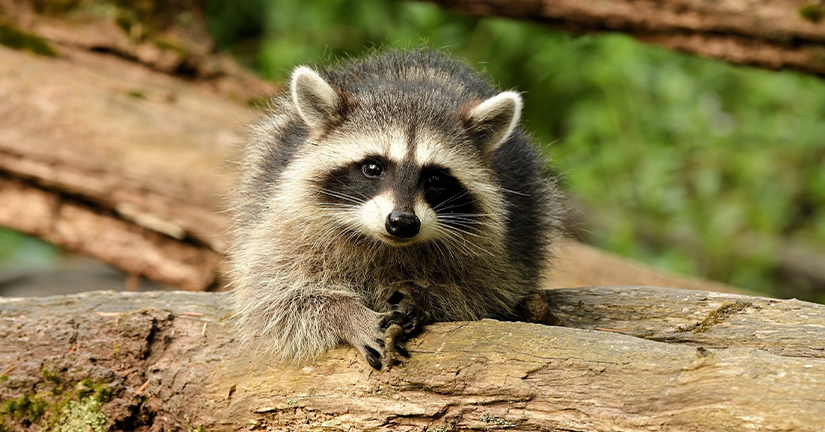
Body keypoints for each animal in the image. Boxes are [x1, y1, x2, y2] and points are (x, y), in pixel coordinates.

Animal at [232, 49, 568, 368]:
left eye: (435, 178)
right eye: (372, 167)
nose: (403, 222)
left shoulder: (505, 251)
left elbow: (482, 291)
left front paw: (422, 295)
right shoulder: (285, 222)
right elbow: (276, 296)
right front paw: (346, 313)